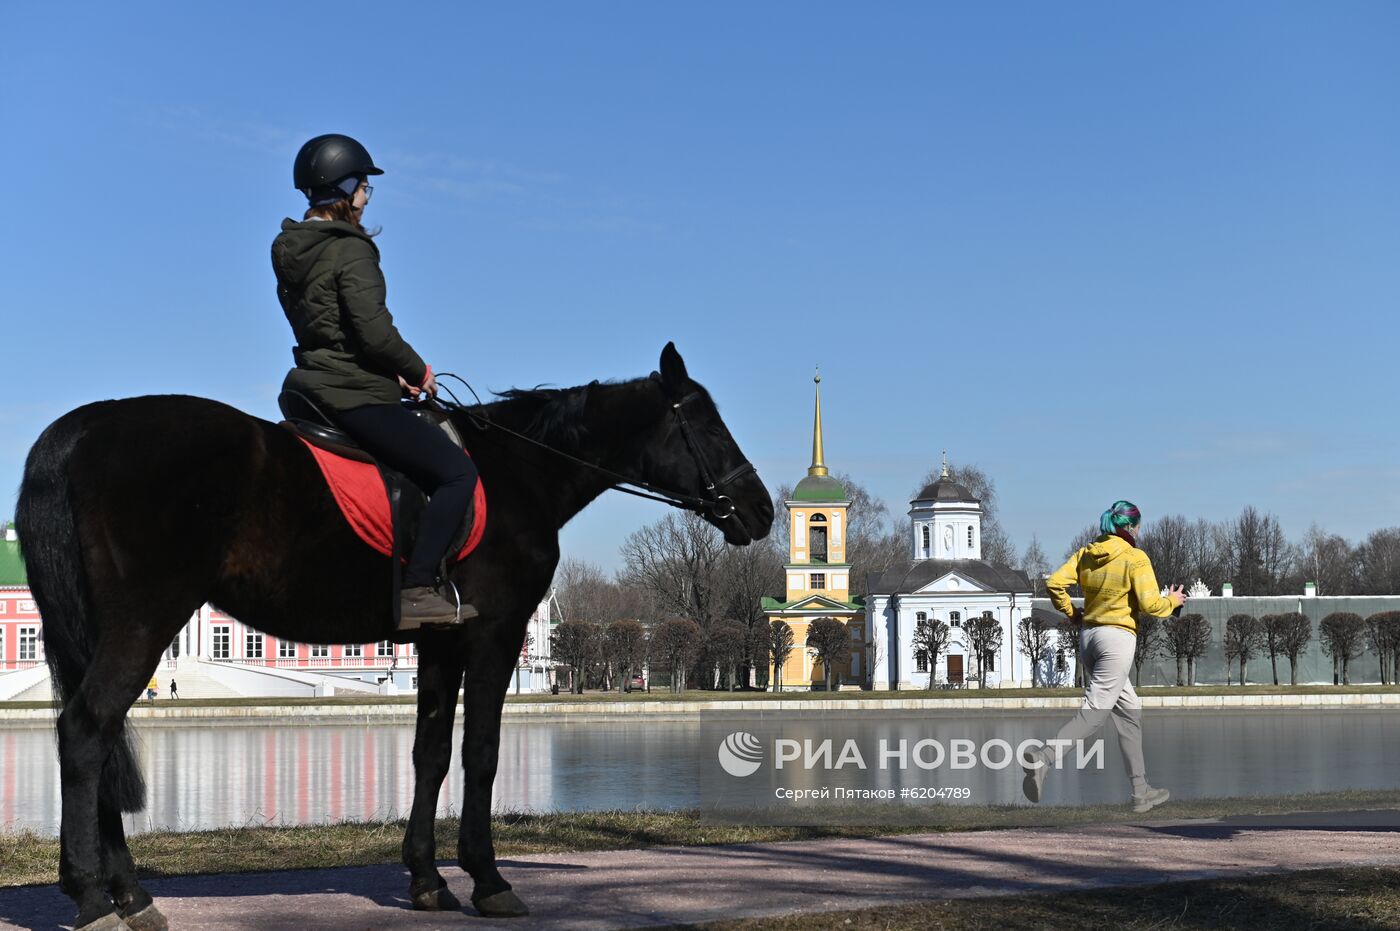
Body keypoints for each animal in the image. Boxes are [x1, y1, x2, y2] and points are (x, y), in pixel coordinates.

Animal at [16, 343, 772, 929]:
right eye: (707, 424)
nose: (761, 510)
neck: (514, 473)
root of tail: (80, 430)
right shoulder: (494, 636)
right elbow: (480, 753)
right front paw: (487, 878)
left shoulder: (437, 643)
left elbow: (429, 754)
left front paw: (427, 878)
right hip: (144, 622)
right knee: (87, 728)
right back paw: (96, 895)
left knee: (95, 733)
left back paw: (127, 890)